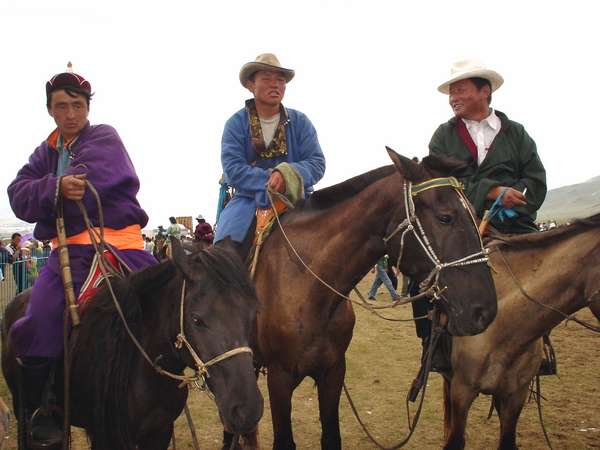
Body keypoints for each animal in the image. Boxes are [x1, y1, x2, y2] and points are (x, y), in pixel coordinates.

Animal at [2, 241, 264, 448]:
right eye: (197, 320)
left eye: (252, 314)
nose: (247, 410)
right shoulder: (108, 437)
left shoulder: (159, 432)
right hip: (23, 410)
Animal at [225, 151, 496, 450]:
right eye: (445, 217)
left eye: (476, 215)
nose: (485, 310)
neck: (309, 289)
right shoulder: (279, 377)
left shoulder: (333, 371)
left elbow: (331, 437)